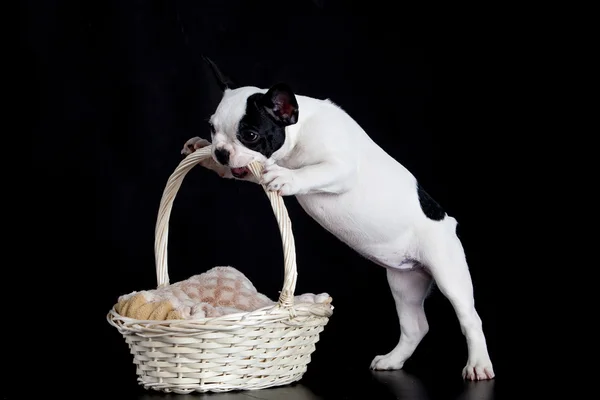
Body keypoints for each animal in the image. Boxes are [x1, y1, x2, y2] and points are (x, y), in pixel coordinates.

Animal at [183, 57, 496, 380]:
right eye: (212, 129)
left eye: (250, 135)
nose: (220, 151)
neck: (298, 132)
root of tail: (449, 224)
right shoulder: (252, 168)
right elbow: (239, 171)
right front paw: (204, 152)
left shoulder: (339, 168)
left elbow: (310, 172)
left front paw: (287, 177)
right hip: (404, 284)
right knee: (416, 326)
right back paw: (393, 360)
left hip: (449, 274)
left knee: (470, 319)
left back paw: (478, 364)